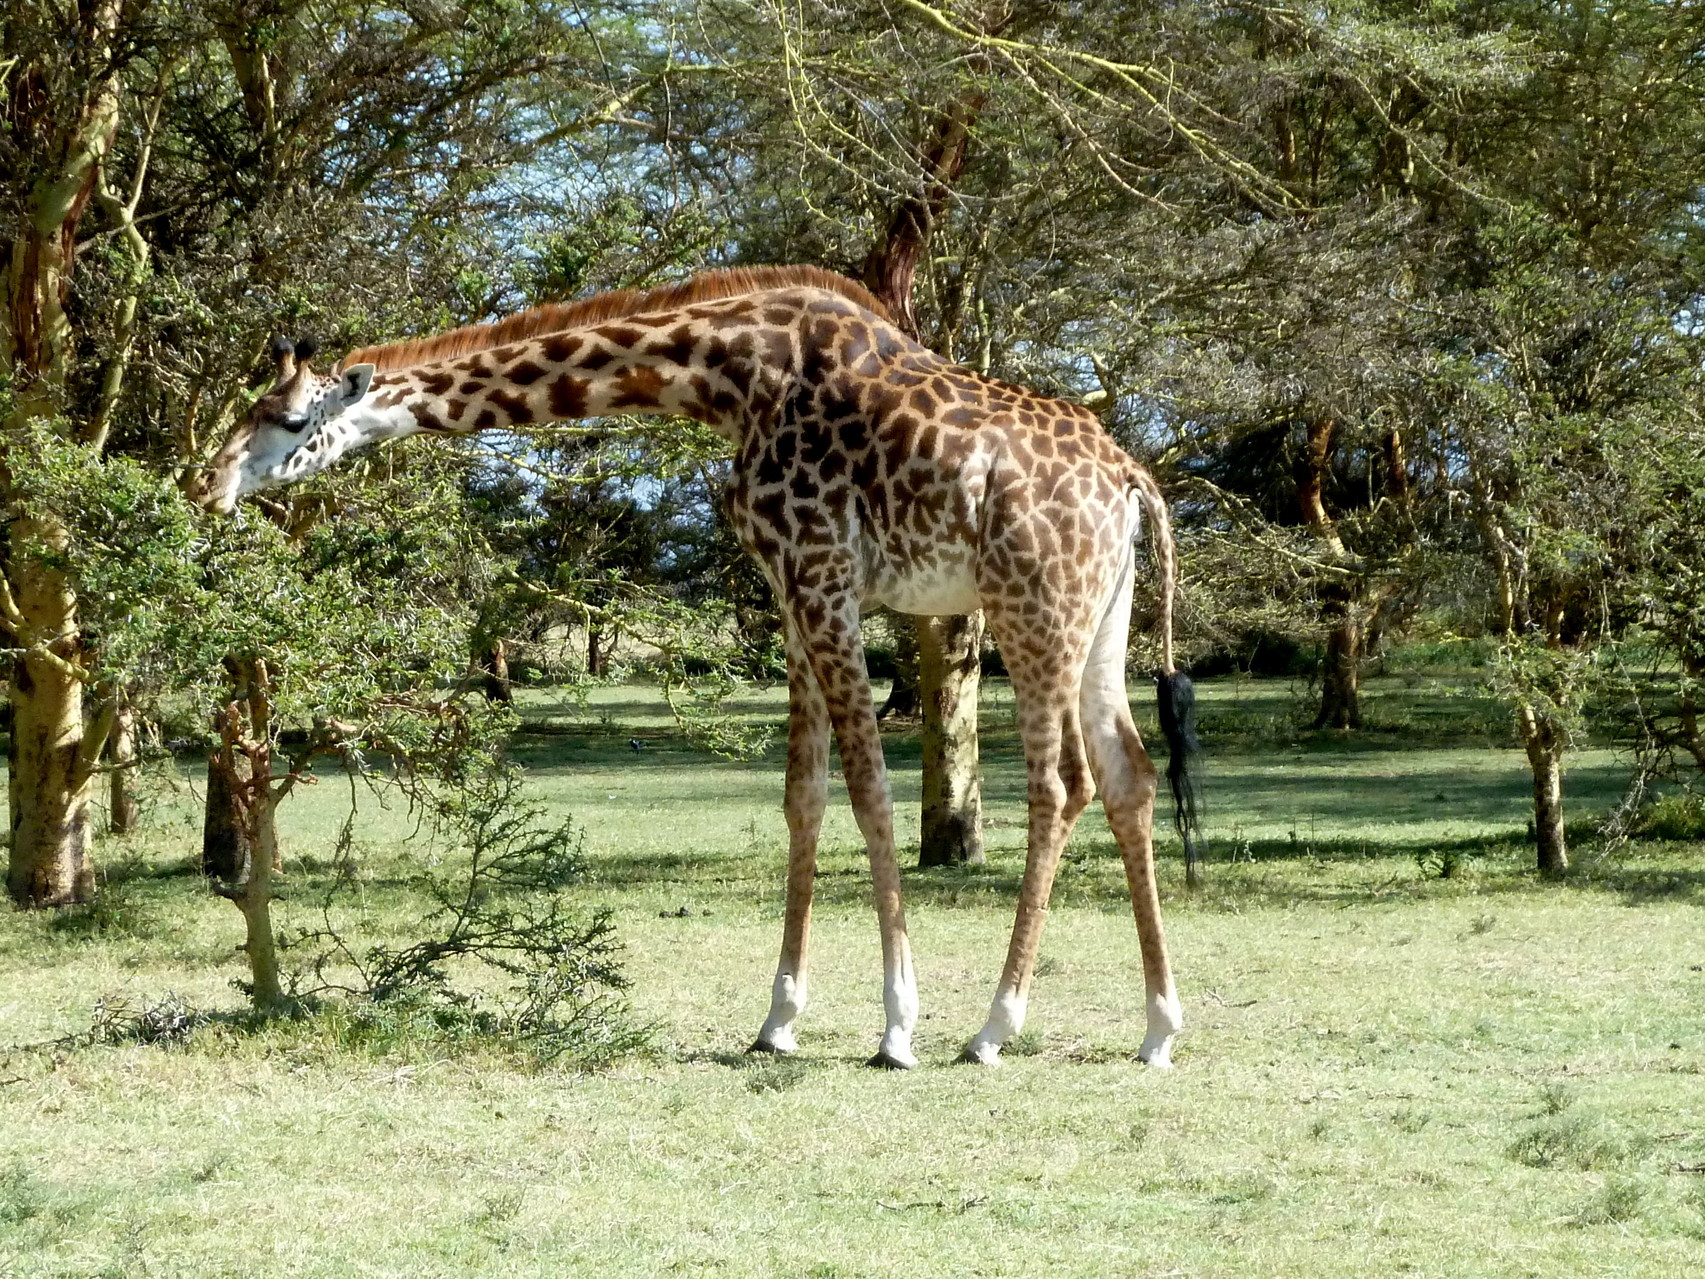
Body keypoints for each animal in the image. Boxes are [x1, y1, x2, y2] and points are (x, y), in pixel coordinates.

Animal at [192, 266, 1205, 1069]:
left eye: (288, 417)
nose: (210, 484)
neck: (730, 374)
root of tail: (1131, 481)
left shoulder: (824, 574)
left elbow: (871, 790)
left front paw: (896, 1028)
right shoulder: (790, 591)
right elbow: (803, 795)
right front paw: (778, 1019)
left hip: (1032, 605)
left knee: (1060, 781)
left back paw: (993, 1027)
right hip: (1098, 617)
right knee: (1128, 773)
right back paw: (1158, 1027)